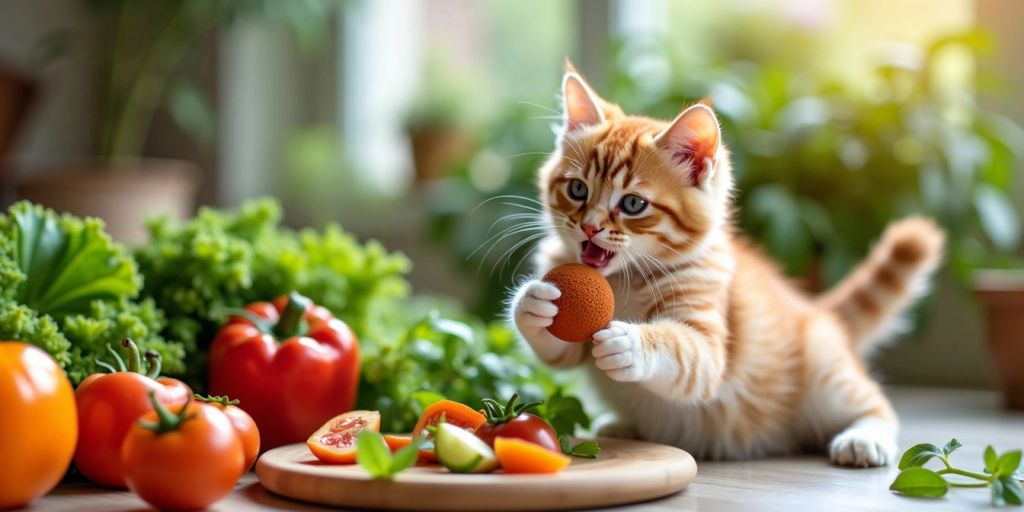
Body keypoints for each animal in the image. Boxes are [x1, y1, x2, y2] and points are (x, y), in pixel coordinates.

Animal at [507, 65, 946, 468]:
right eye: (577, 189)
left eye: (633, 204)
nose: (590, 226)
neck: (623, 281)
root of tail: (815, 310)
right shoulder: (572, 343)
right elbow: (559, 353)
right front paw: (533, 303)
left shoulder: (710, 340)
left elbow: (685, 352)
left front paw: (631, 342)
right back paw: (620, 424)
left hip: (826, 372)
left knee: (877, 405)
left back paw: (864, 439)